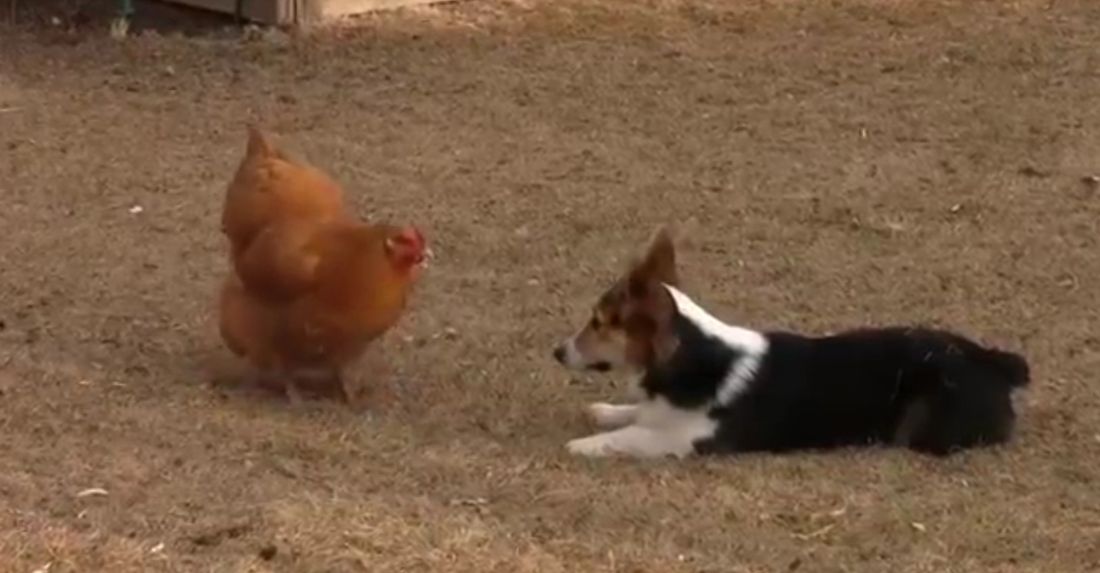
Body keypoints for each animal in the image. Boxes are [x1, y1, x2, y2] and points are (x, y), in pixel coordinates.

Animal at [554, 228, 1025, 459]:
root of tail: (994, 362)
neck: (691, 356)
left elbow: (631, 435)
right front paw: (605, 411)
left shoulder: (687, 439)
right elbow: (634, 414)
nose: (557, 352)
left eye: (597, 322)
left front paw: (582, 445)